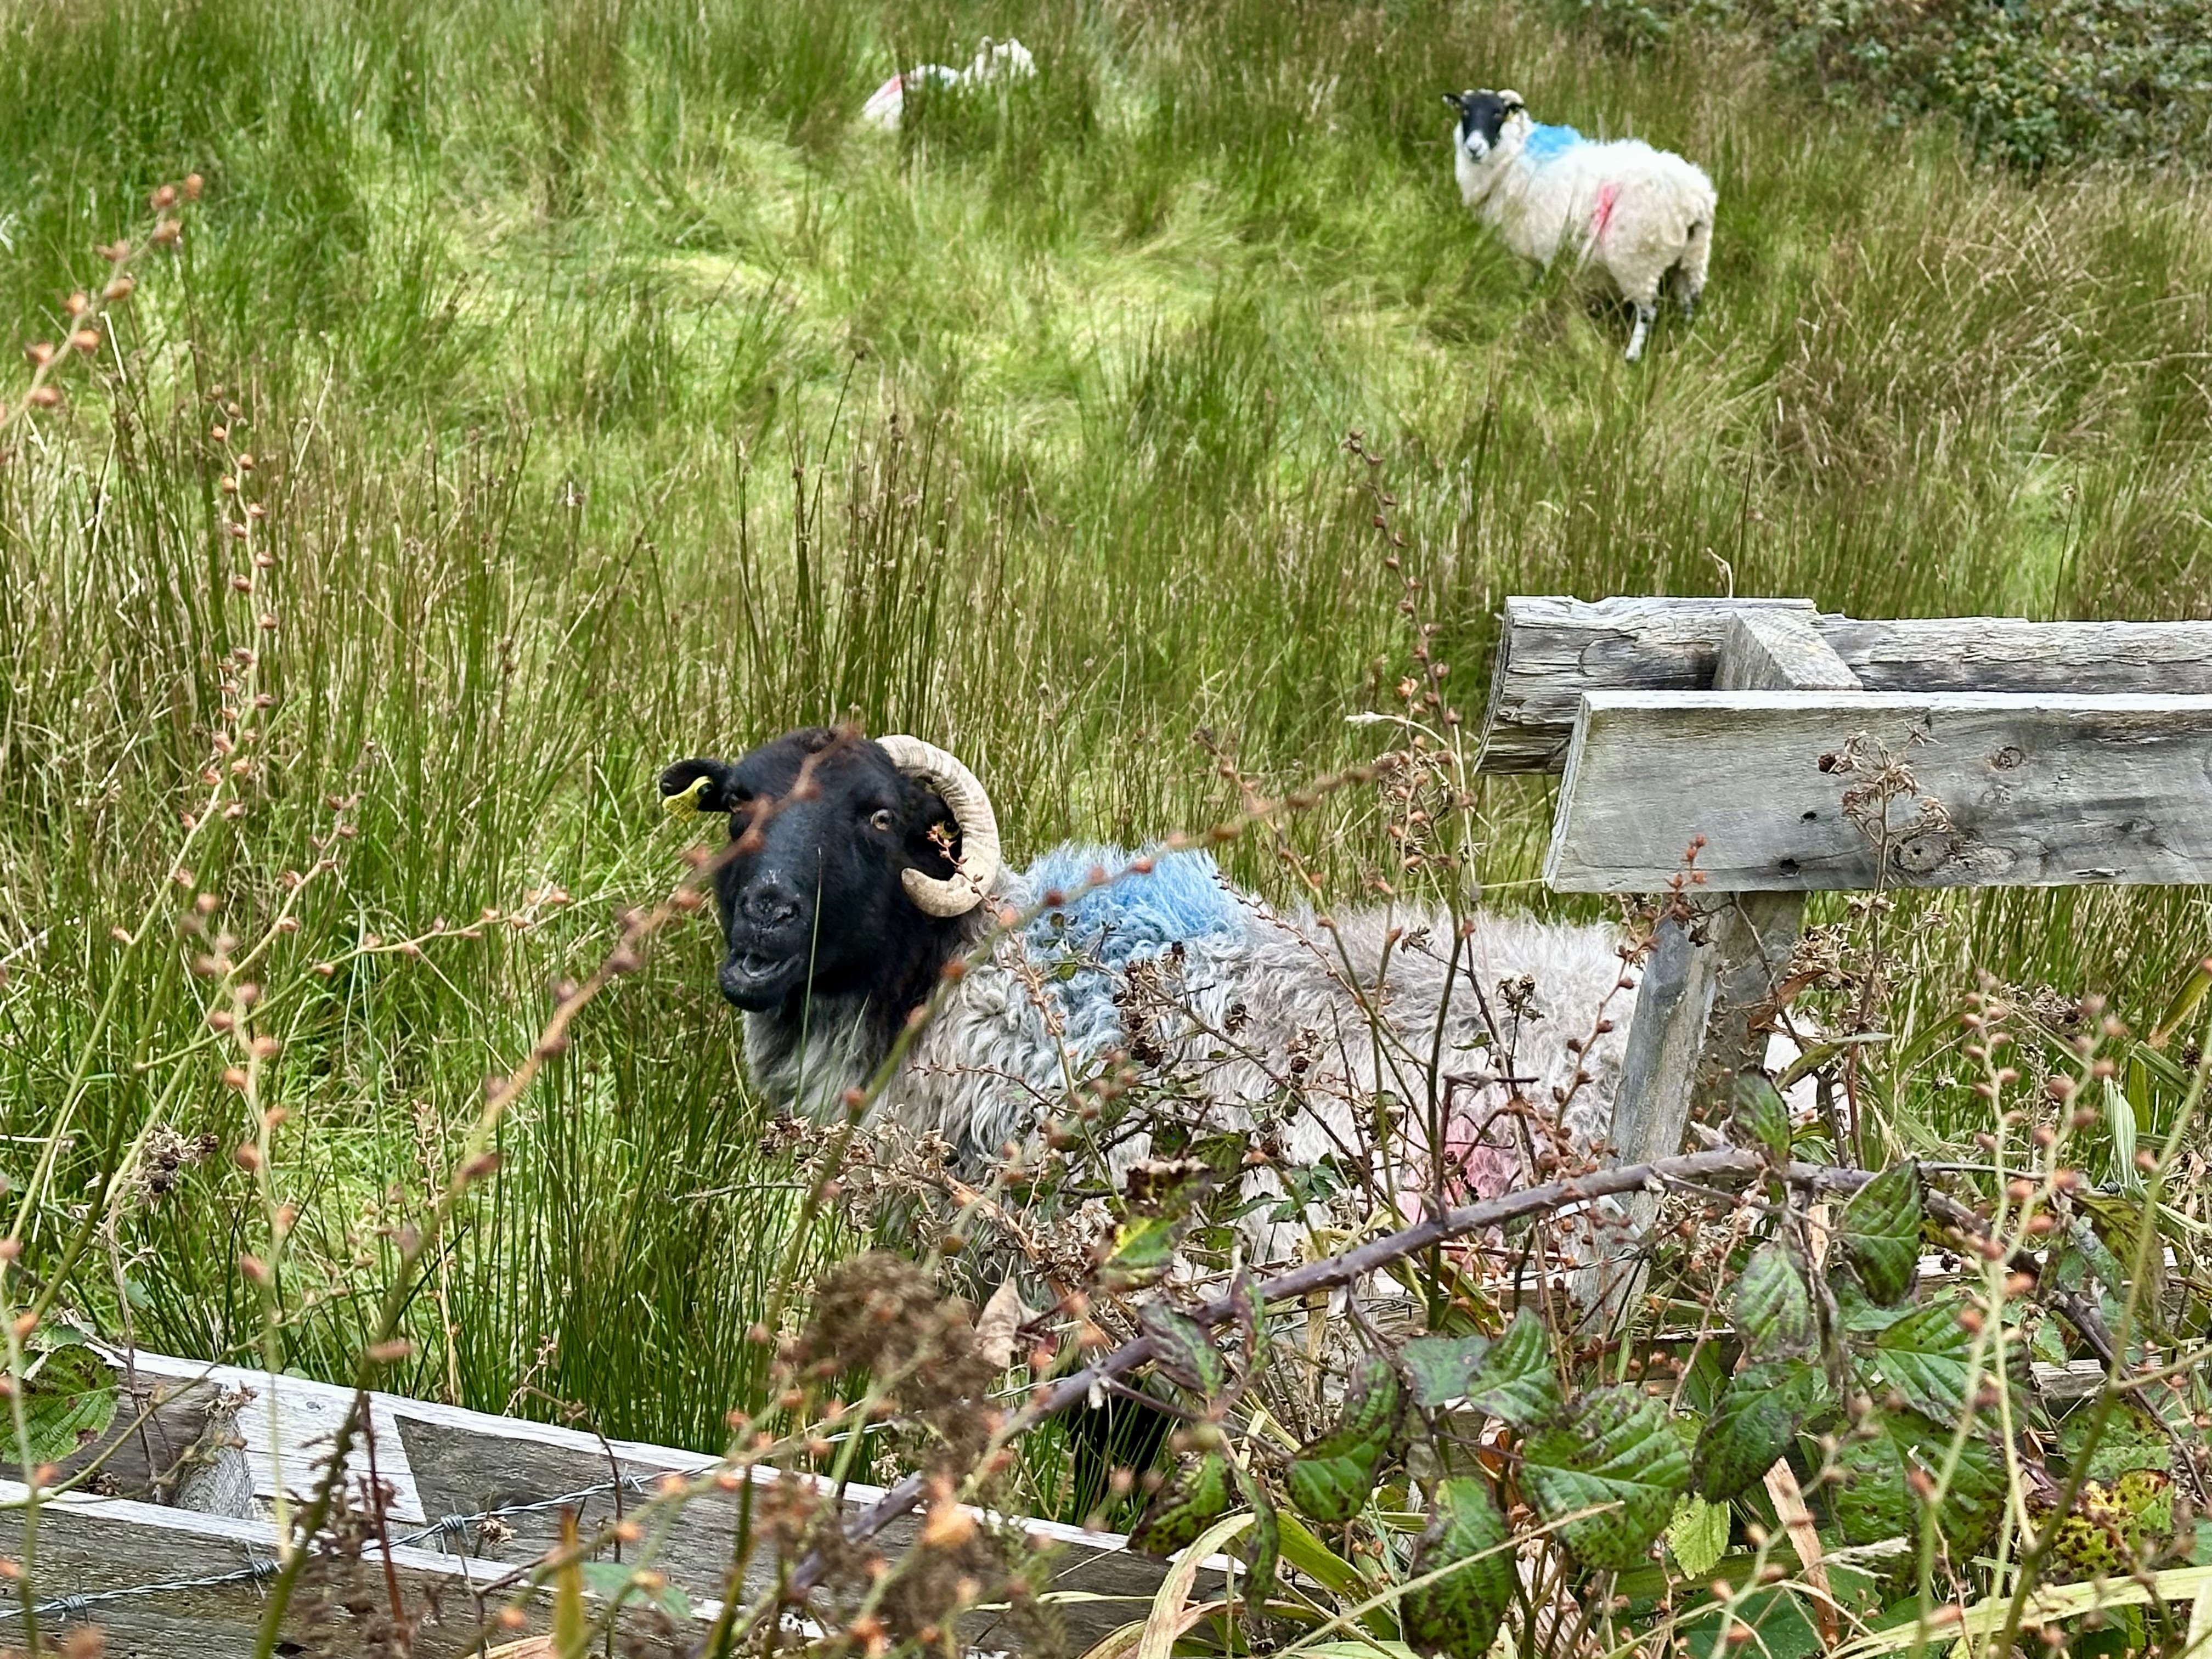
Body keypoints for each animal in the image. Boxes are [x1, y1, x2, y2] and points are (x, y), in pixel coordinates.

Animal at [1444, 88, 1715, 361]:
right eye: (1464, 111)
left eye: (1498, 113)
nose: (1474, 148)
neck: (1517, 158)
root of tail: (1697, 198)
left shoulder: (1547, 244)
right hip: (1692, 259)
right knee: (1689, 304)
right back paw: (1683, 346)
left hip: (1639, 259)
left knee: (1648, 310)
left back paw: (1632, 356)